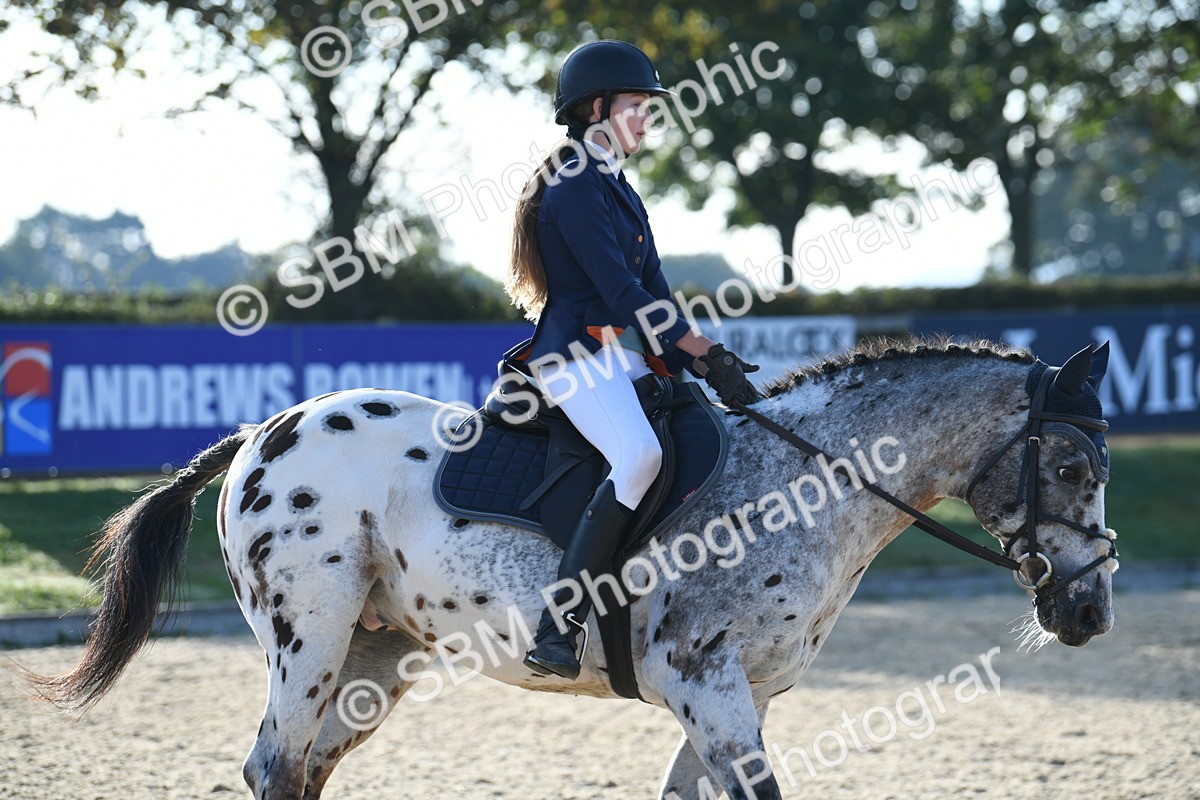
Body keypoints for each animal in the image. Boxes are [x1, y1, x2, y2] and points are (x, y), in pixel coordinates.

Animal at [23, 337, 1118, 800]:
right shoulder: (705, 680)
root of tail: (263, 428)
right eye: (1069, 466)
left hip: (376, 653)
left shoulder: (739, 694)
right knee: (275, 762)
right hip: (310, 635)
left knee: (302, 769)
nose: (1090, 612)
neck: (806, 480)